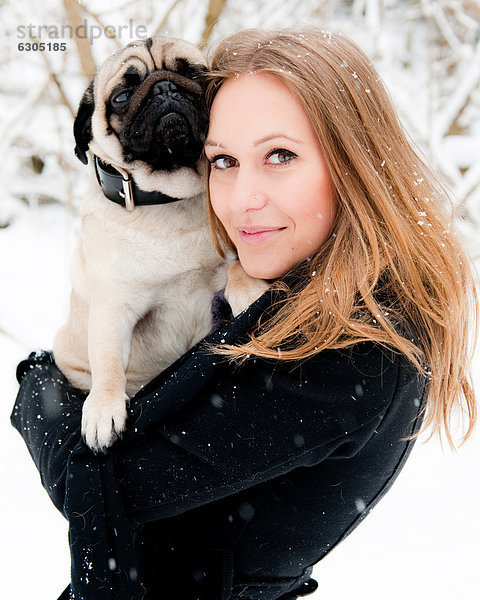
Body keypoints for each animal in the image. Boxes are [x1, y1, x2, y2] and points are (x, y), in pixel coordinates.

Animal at [55, 36, 270, 450]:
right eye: (122, 95)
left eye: (194, 73)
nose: (164, 88)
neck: (168, 201)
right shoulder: (113, 308)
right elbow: (107, 361)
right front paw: (103, 406)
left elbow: (237, 269)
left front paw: (251, 291)